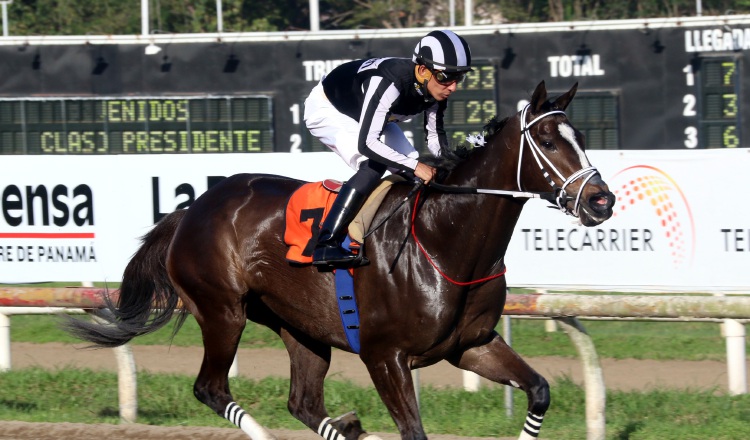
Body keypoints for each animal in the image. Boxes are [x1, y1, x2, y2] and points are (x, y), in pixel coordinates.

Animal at [66, 81, 616, 440]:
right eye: (547, 141)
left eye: (583, 139)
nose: (601, 201)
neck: (444, 239)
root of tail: (188, 211)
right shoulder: (385, 356)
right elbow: (413, 430)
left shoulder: (471, 344)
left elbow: (539, 390)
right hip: (223, 311)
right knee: (210, 388)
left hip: (300, 327)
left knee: (302, 402)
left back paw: (346, 426)